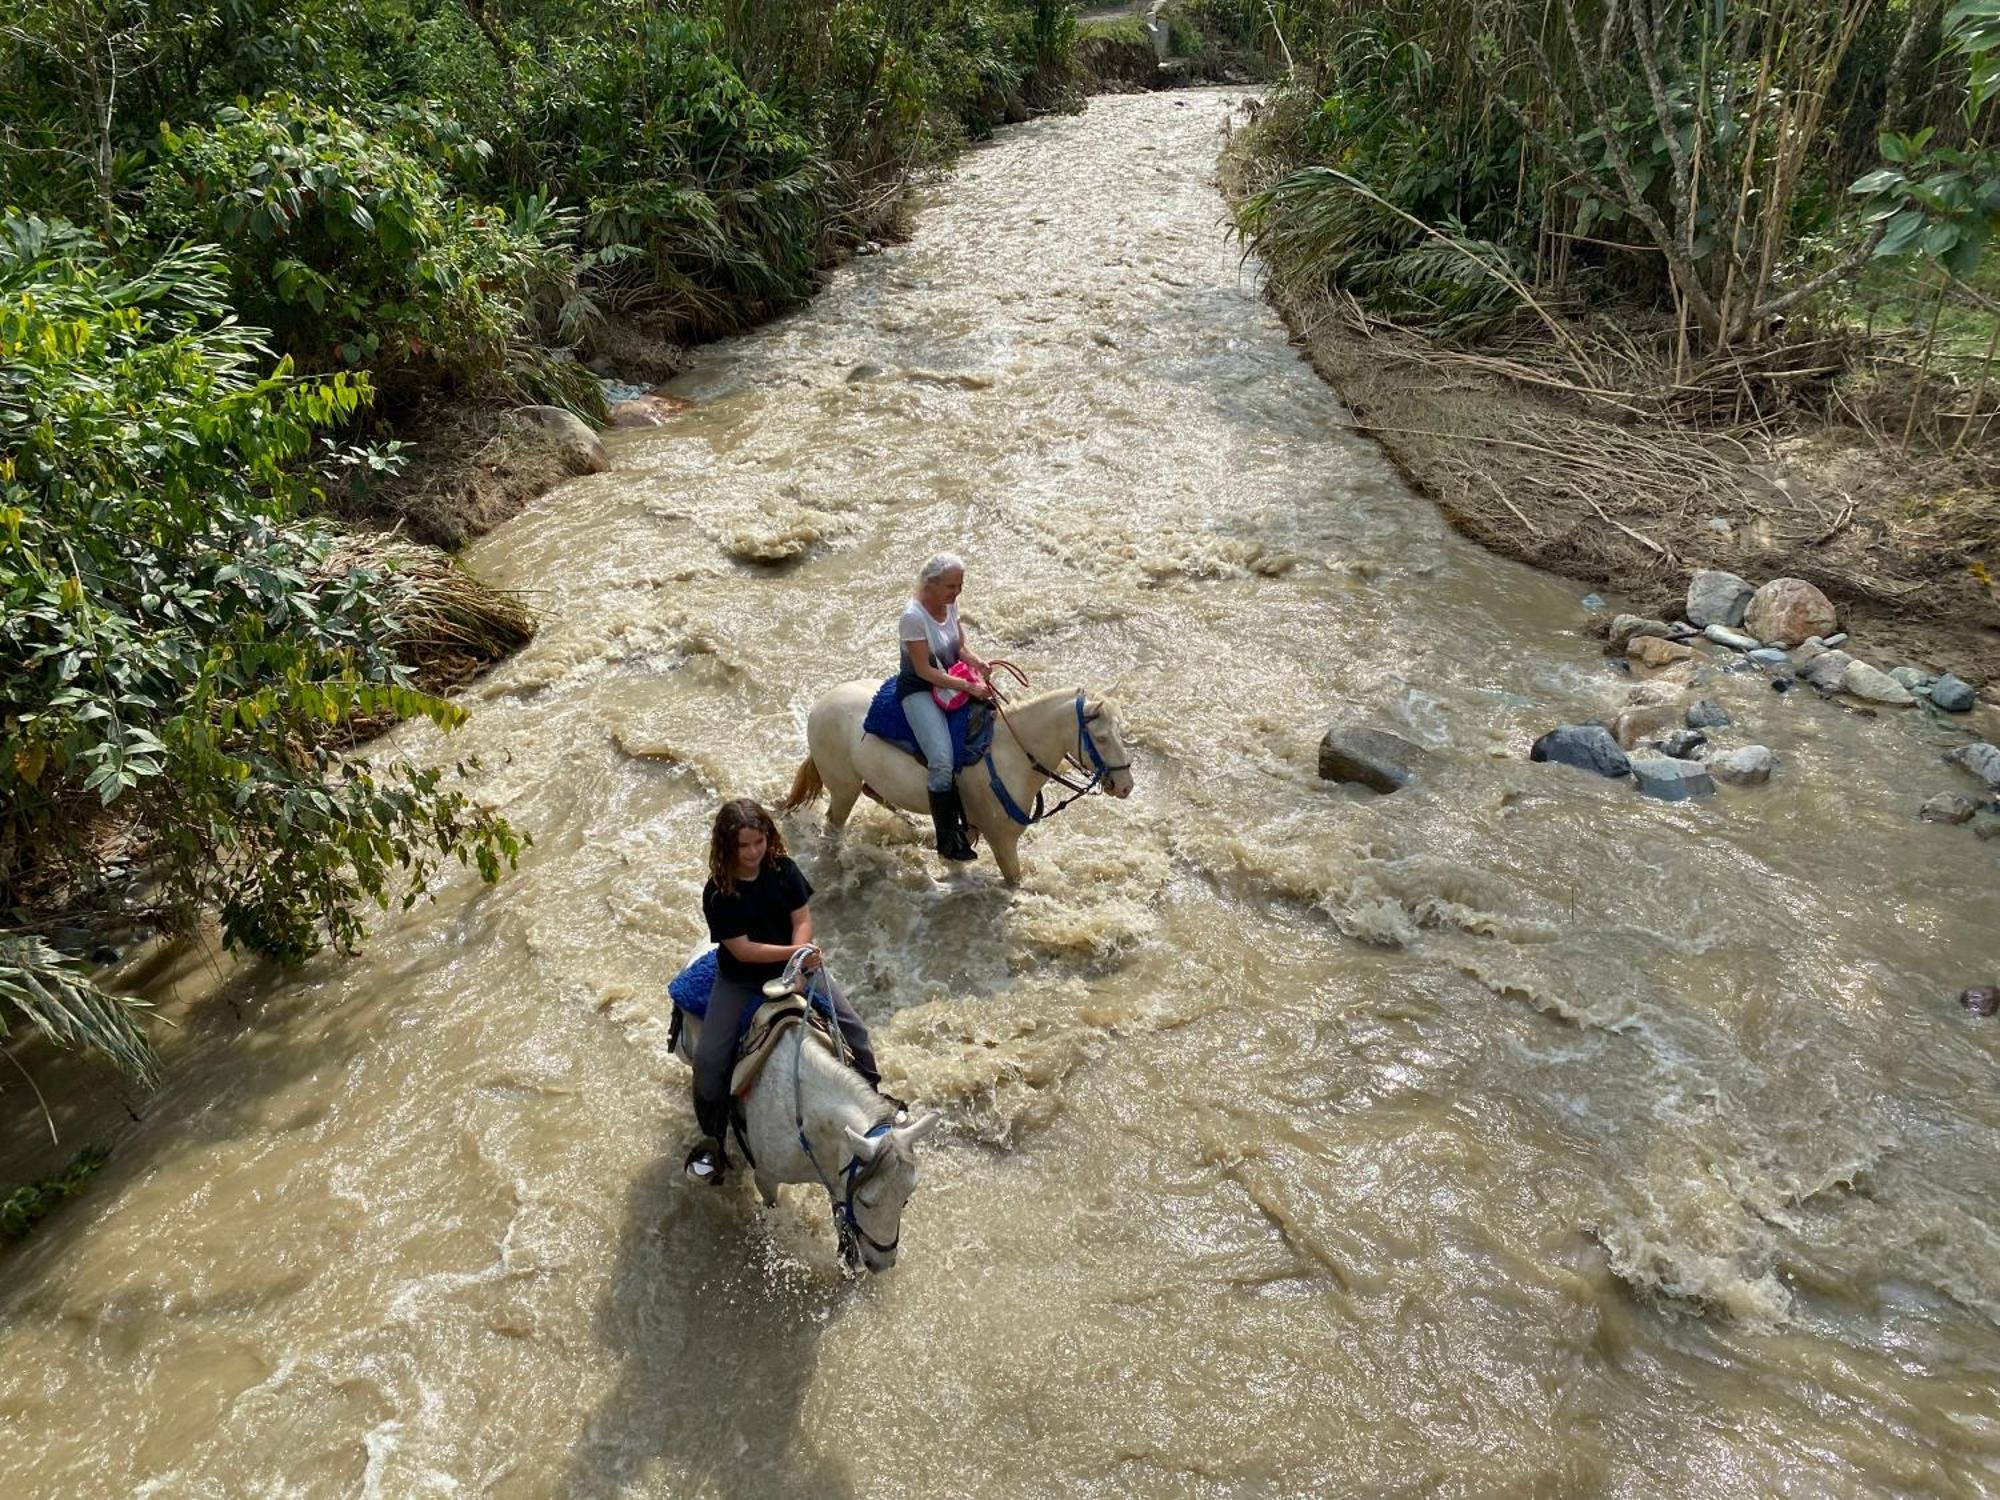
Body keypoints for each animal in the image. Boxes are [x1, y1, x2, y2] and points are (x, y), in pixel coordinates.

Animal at [676, 968, 940, 1272]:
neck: (805, 1120)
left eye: (906, 1199)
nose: (881, 1263)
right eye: (866, 1201)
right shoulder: (765, 1179)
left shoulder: (838, 1178)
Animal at [776, 680, 1136, 880]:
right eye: (1101, 738)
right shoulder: (1002, 839)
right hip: (842, 789)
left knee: (874, 794)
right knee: (834, 823)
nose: (1125, 786)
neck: (1010, 754)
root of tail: (822, 704)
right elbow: (1014, 879)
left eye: (1122, 729)